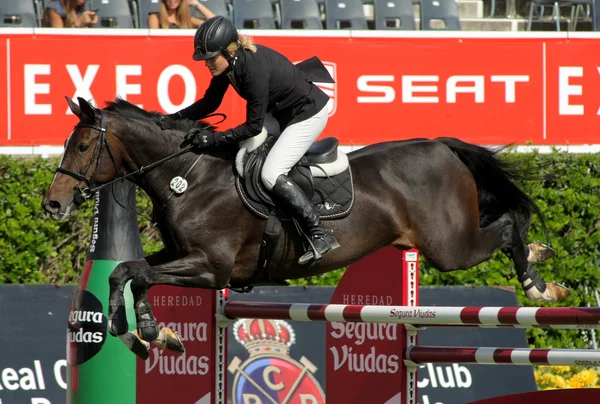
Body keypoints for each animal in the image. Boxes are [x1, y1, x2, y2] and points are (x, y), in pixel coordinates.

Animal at [43, 97, 572, 356]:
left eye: (84, 146)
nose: (53, 204)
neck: (187, 178)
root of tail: (441, 145)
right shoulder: (180, 257)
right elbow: (126, 271)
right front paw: (143, 334)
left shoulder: (211, 269)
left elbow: (137, 274)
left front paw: (146, 332)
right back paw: (540, 261)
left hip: (449, 247)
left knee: (506, 226)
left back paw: (540, 282)